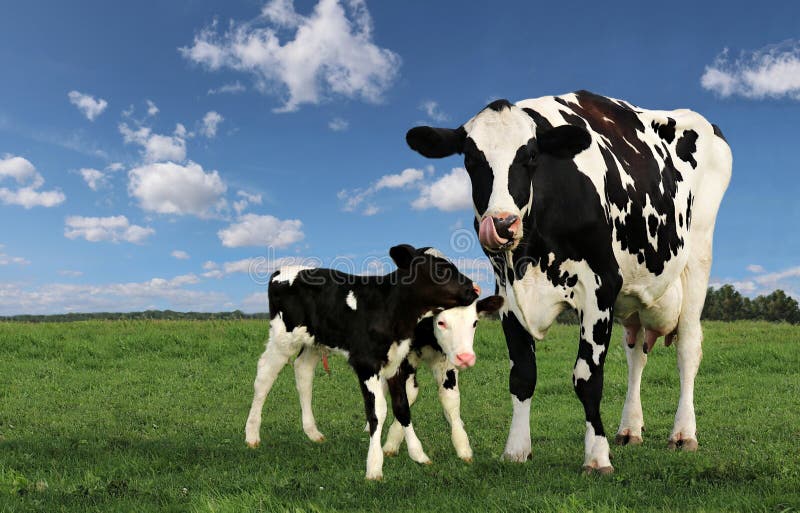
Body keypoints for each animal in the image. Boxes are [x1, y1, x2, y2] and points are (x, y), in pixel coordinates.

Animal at [244, 244, 482, 480]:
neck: (390, 308)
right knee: (264, 376)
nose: (475, 288)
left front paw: (418, 454)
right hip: (283, 338)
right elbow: (378, 410)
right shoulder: (366, 364)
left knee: (303, 371)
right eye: (441, 270)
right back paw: (252, 434)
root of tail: (282, 270)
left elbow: (402, 407)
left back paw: (312, 432)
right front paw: (374, 466)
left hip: (314, 341)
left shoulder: (396, 363)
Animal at [406, 89, 732, 472]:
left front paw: (597, 456)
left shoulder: (600, 287)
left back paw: (683, 434)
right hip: (636, 298)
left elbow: (587, 378)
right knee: (636, 354)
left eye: (531, 156)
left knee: (688, 348)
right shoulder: (508, 294)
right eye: (470, 159)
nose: (502, 223)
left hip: (697, 256)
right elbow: (522, 376)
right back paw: (630, 429)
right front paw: (516, 450)